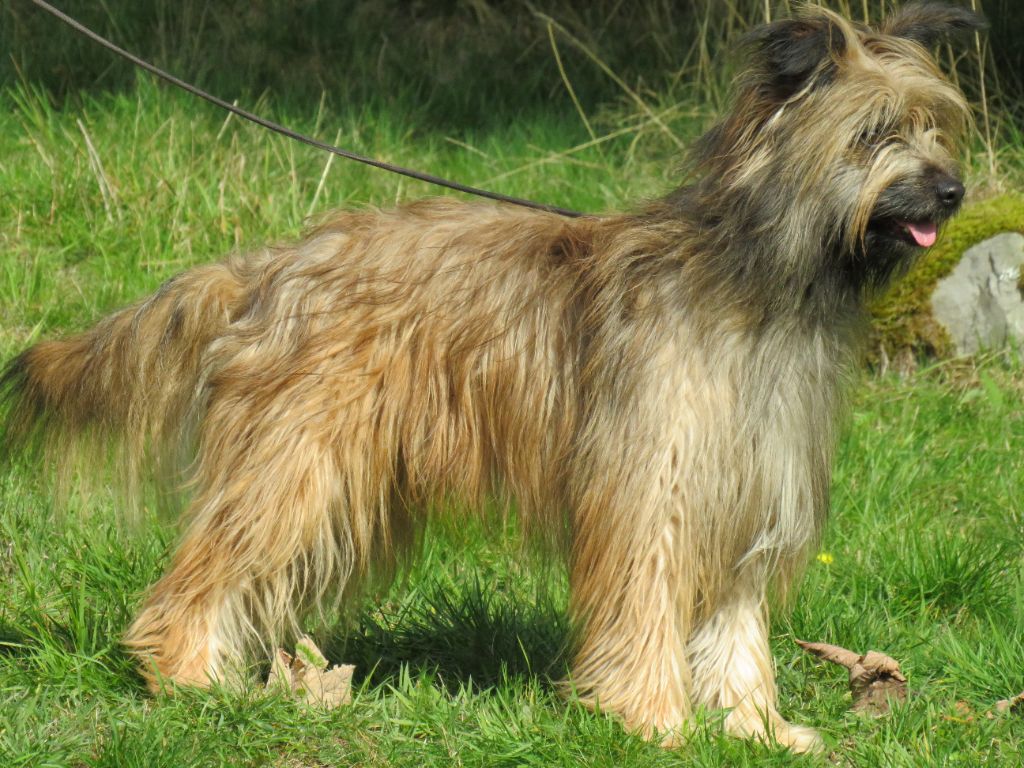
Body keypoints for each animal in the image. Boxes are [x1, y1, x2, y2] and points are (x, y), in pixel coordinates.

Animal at [4, 1, 987, 757]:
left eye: (936, 124)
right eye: (875, 133)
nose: (951, 192)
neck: (764, 286)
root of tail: (273, 268)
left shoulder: (748, 491)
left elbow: (736, 628)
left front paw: (755, 729)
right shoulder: (651, 493)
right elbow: (646, 607)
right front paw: (655, 724)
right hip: (294, 468)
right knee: (200, 579)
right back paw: (190, 683)